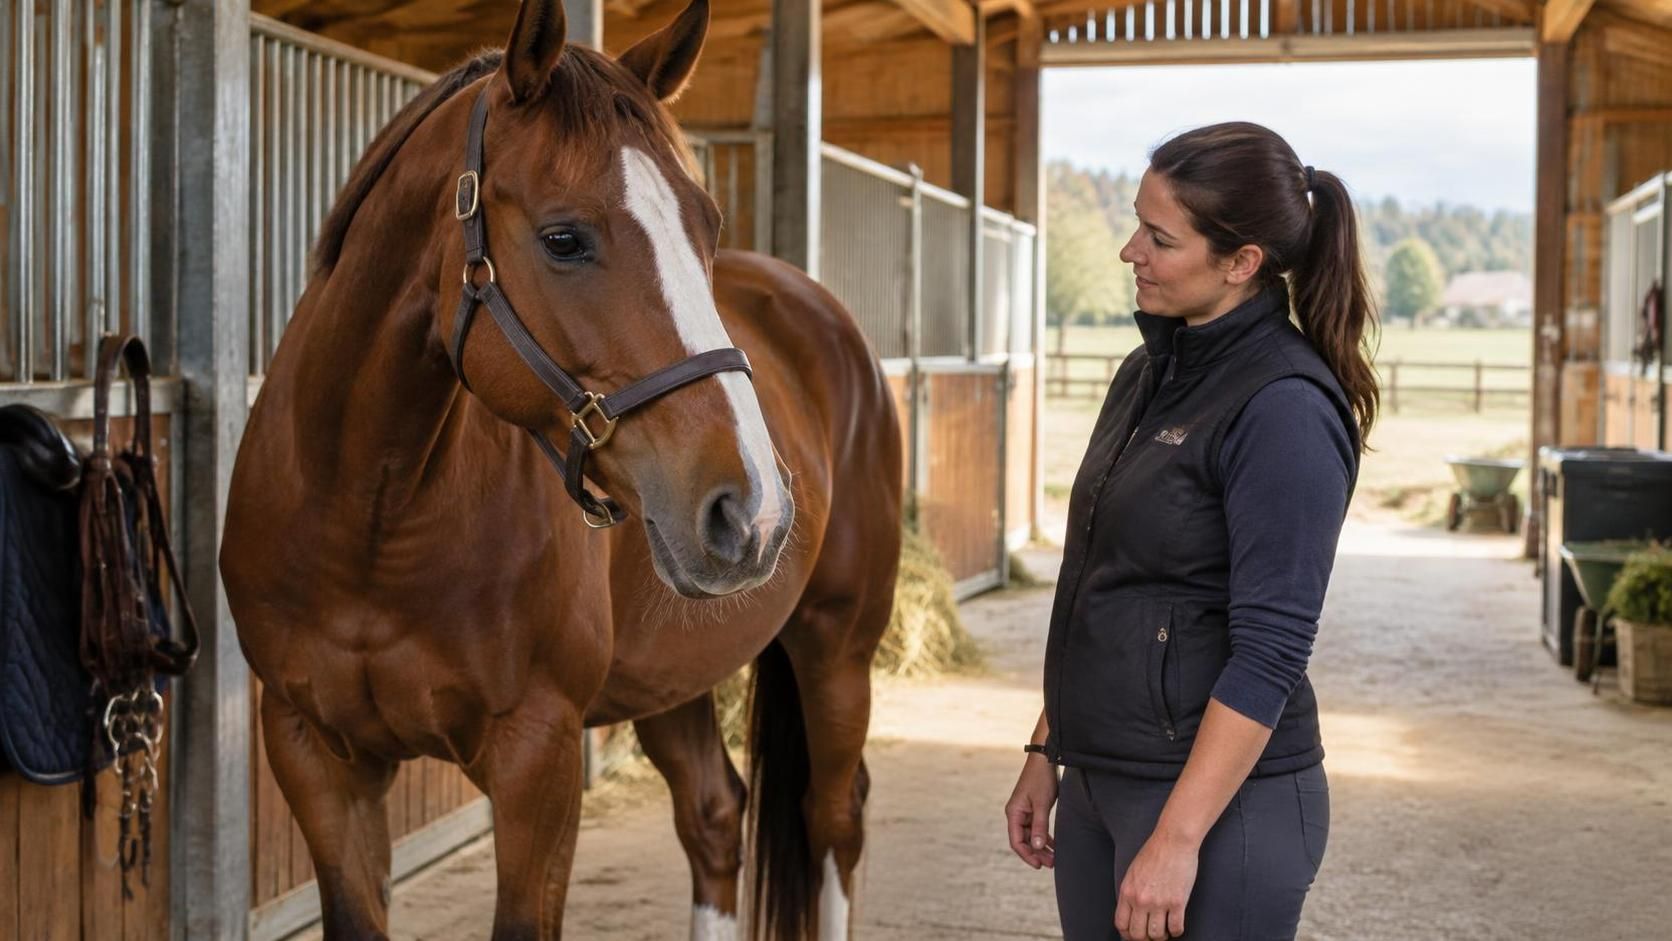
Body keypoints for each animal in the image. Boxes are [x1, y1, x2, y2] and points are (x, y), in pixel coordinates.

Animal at [218, 0, 903, 937]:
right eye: (564, 238)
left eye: (708, 226)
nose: (754, 511)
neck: (370, 524)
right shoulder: (316, 755)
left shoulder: (536, 761)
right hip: (671, 673)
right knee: (715, 816)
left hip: (836, 647)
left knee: (834, 816)